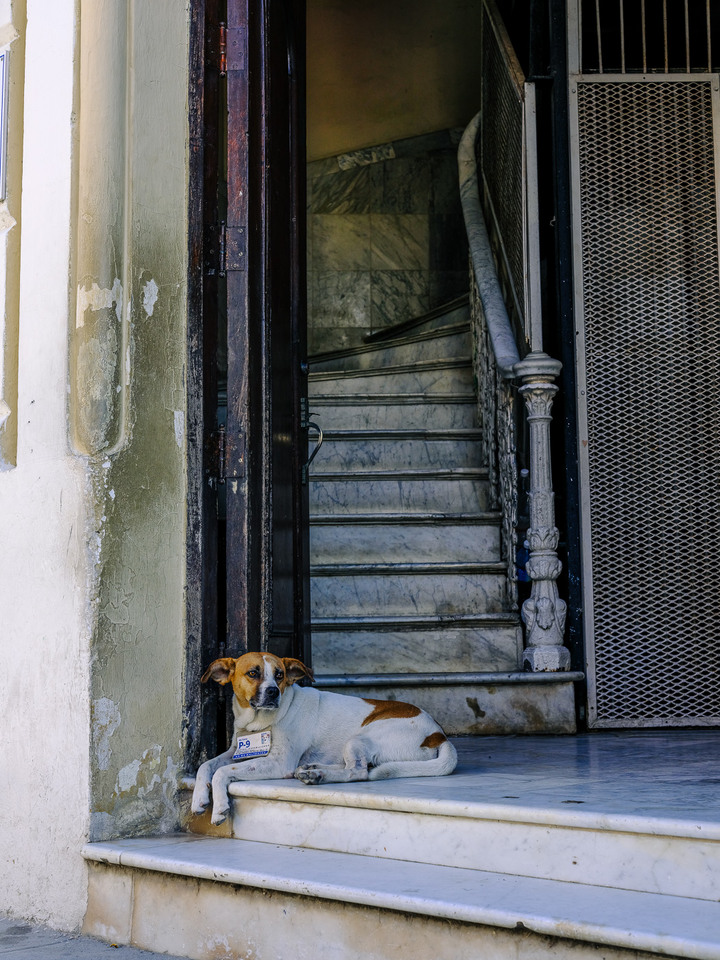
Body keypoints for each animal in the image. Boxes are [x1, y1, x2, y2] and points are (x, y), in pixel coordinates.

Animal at [191, 652, 456, 824]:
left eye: (280, 675)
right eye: (253, 673)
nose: (273, 692)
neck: (258, 723)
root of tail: (438, 734)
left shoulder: (279, 763)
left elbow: (221, 771)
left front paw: (219, 806)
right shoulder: (235, 752)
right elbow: (206, 766)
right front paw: (199, 798)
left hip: (359, 739)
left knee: (358, 771)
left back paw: (319, 775)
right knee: (353, 767)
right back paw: (314, 770)